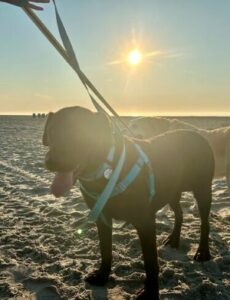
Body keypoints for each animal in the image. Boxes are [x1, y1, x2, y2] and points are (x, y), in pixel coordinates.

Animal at [42, 106, 214, 298]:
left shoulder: (145, 222)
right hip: (172, 191)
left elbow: (151, 262)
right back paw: (174, 239)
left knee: (205, 222)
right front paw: (102, 276)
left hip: (202, 189)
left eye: (80, 133)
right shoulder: (102, 217)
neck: (105, 168)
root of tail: (198, 135)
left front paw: (150, 292)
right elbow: (106, 250)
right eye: (52, 131)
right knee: (179, 213)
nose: (51, 161)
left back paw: (203, 251)